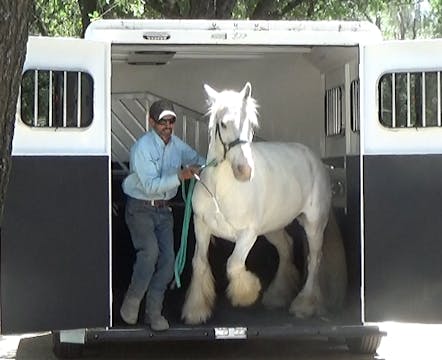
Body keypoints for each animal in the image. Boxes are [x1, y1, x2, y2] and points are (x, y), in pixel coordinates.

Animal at [180, 83, 334, 324]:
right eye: (223, 124)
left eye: (251, 124)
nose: (244, 171)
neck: (221, 189)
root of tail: (314, 159)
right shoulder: (201, 226)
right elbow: (199, 263)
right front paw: (196, 310)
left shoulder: (248, 234)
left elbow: (234, 264)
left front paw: (247, 293)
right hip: (273, 228)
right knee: (286, 248)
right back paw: (278, 296)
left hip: (314, 224)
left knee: (314, 259)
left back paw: (304, 304)